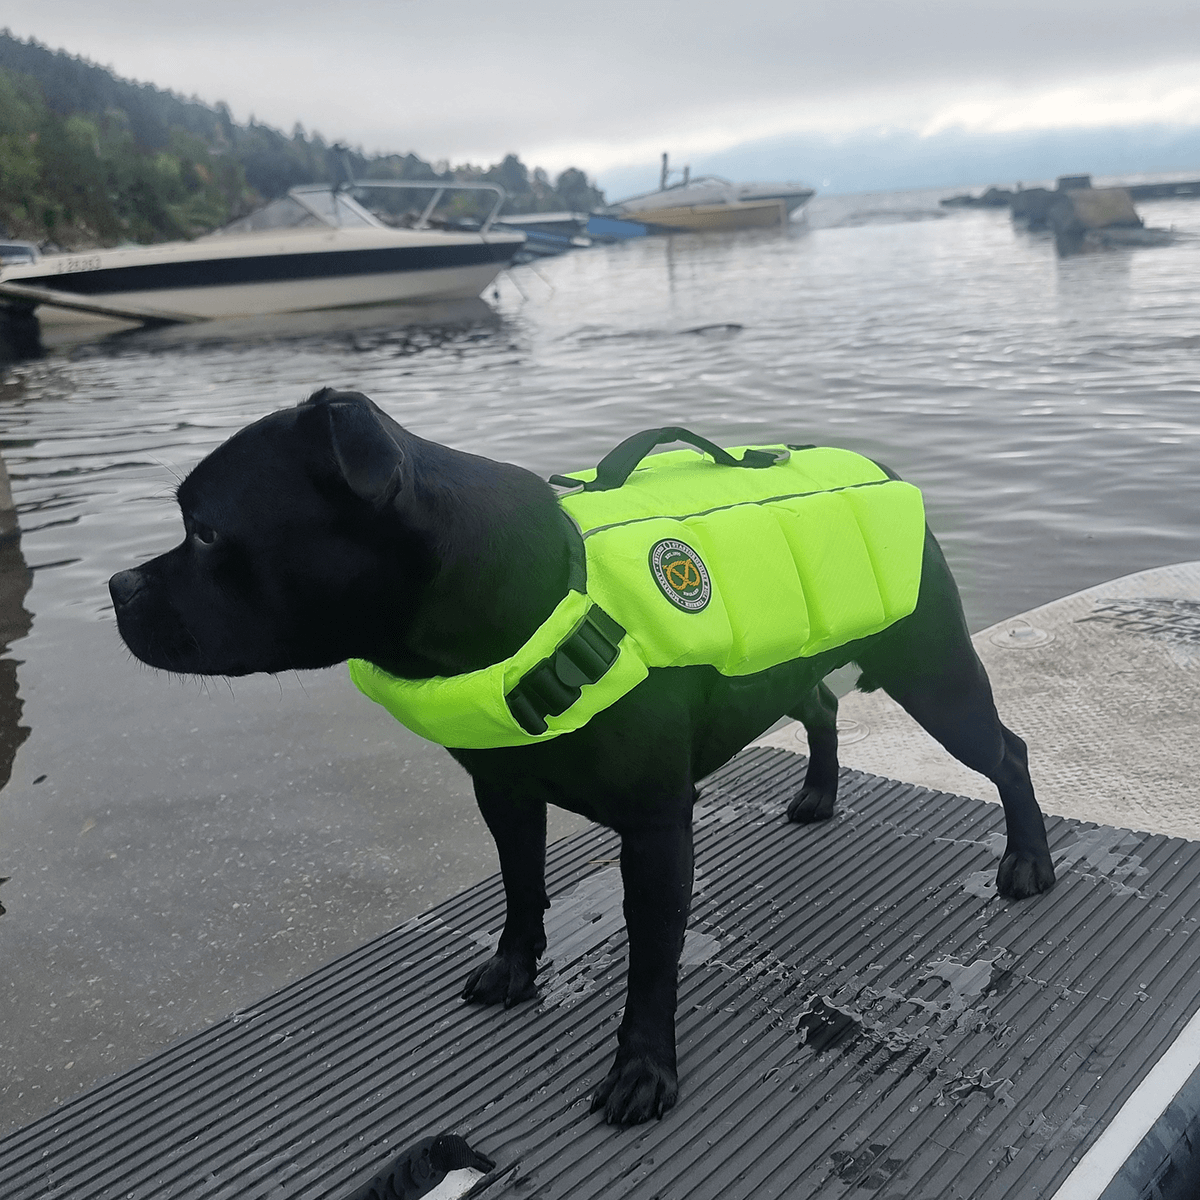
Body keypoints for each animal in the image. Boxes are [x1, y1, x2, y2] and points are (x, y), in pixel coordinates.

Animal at [110, 391, 1051, 1123]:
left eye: (205, 532)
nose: (118, 587)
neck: (509, 589)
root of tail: (884, 470)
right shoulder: (504, 794)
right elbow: (521, 887)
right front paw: (515, 968)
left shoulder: (656, 829)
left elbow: (651, 959)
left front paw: (643, 1069)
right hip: (790, 669)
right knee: (820, 704)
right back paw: (819, 793)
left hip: (934, 675)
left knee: (1007, 753)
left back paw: (1028, 862)